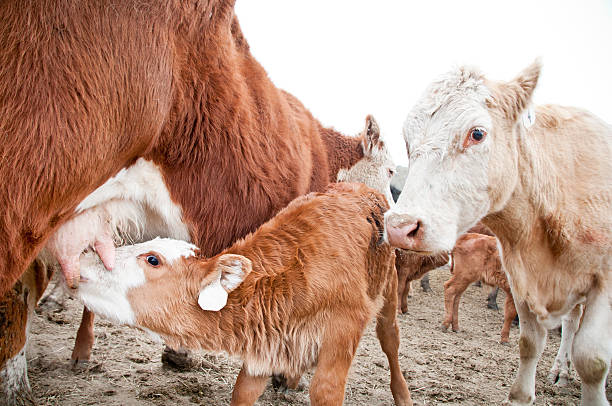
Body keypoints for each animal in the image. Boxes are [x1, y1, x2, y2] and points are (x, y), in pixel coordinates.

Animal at [74, 184, 414, 406]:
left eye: (153, 259)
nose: (86, 255)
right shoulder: (264, 348)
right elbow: (242, 392)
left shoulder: (341, 337)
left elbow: (325, 391)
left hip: (388, 291)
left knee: (390, 340)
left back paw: (403, 395)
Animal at [384, 61, 608, 406]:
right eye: (408, 139)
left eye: (477, 133)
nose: (399, 228)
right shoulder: (520, 281)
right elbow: (529, 343)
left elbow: (593, 361)